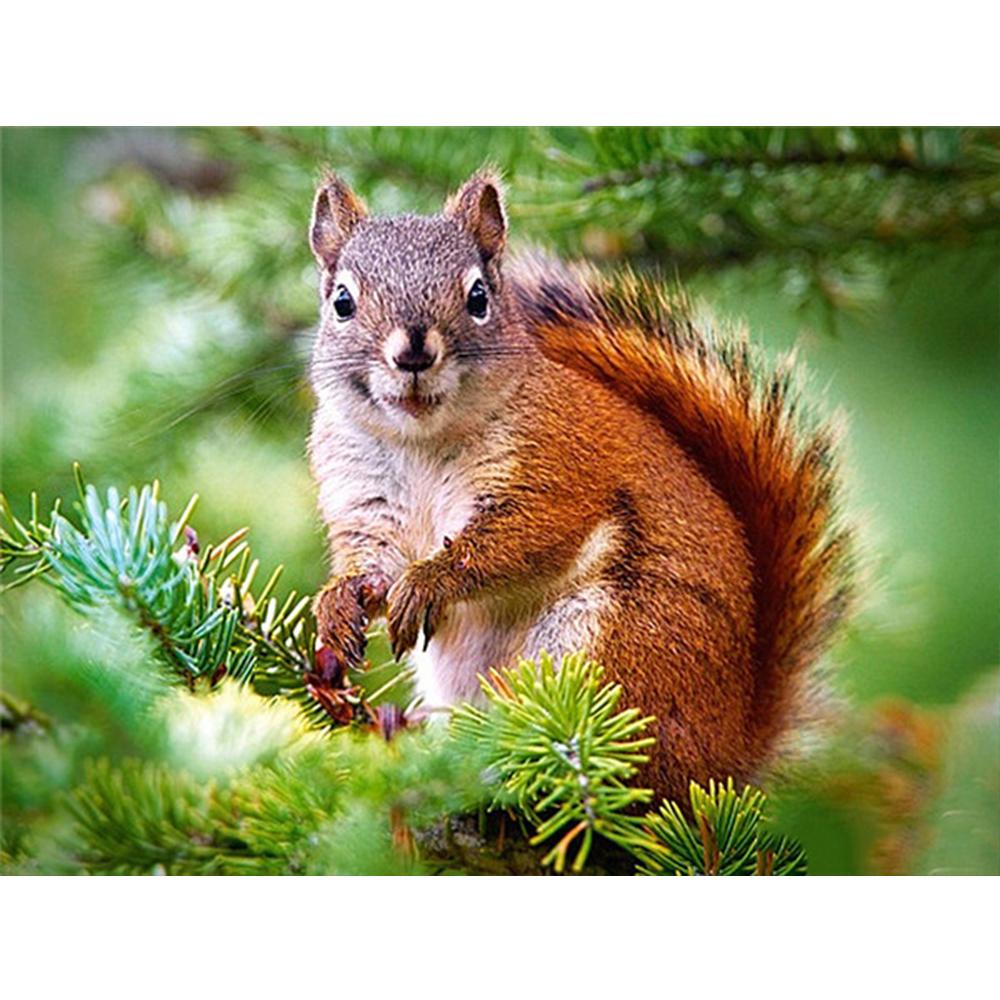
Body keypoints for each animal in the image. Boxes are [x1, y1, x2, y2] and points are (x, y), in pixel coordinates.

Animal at [306, 167, 855, 803]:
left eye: (478, 297)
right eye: (342, 301)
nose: (414, 350)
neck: (421, 442)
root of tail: (728, 756)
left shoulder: (558, 469)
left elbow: (518, 539)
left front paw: (428, 582)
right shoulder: (362, 497)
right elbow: (371, 564)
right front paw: (339, 604)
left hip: (610, 643)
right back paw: (406, 730)